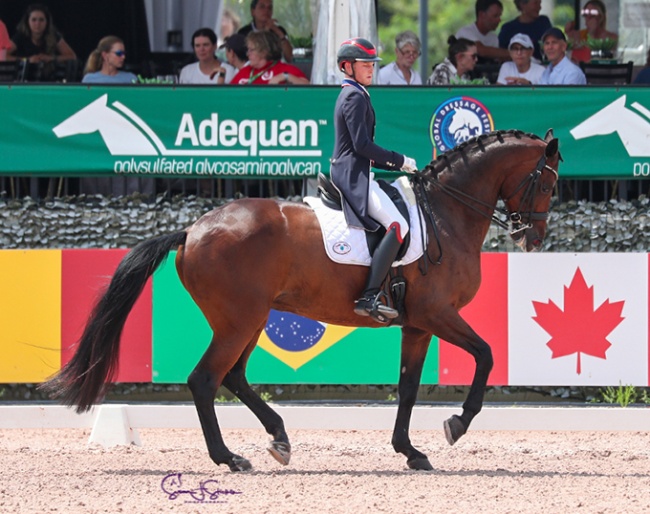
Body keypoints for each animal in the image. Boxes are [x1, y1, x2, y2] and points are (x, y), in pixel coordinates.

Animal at [41, 129, 556, 472]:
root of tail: (191, 230)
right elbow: (486, 356)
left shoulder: (417, 323)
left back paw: (279, 439)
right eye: (548, 183)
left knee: (234, 377)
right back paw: (230, 458)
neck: (445, 213)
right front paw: (457, 424)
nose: (532, 238)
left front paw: (410, 452)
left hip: (250, 319)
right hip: (238, 320)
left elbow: (408, 386)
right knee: (205, 380)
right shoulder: (438, 314)